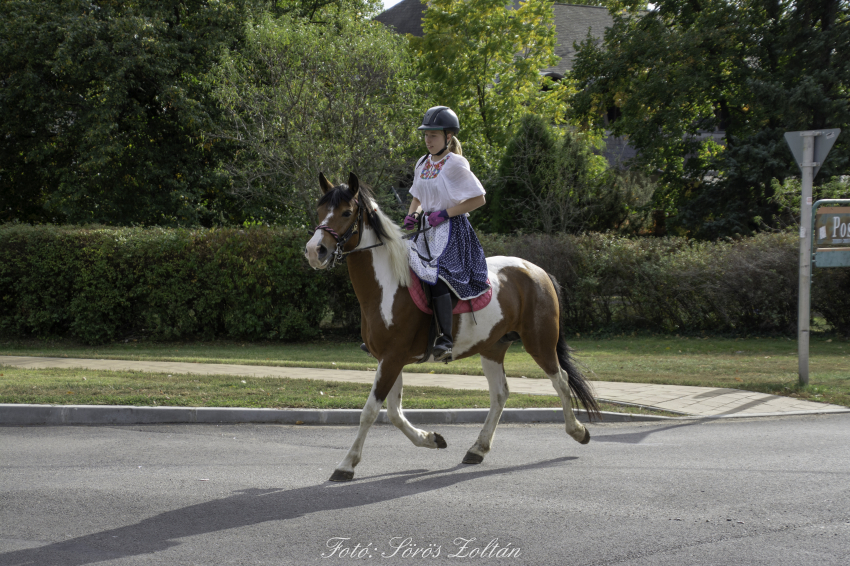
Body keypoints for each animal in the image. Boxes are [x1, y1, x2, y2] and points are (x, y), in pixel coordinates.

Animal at [304, 173, 596, 484]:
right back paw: (477, 449)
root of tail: (537, 271)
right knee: (500, 393)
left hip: (539, 342)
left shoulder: (392, 358)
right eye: (320, 210)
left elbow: (371, 411)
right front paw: (432, 439)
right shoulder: (389, 359)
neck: (388, 286)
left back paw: (578, 431)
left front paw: (347, 464)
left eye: (346, 213)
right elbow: (394, 412)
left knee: (561, 379)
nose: (314, 251)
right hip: (493, 347)